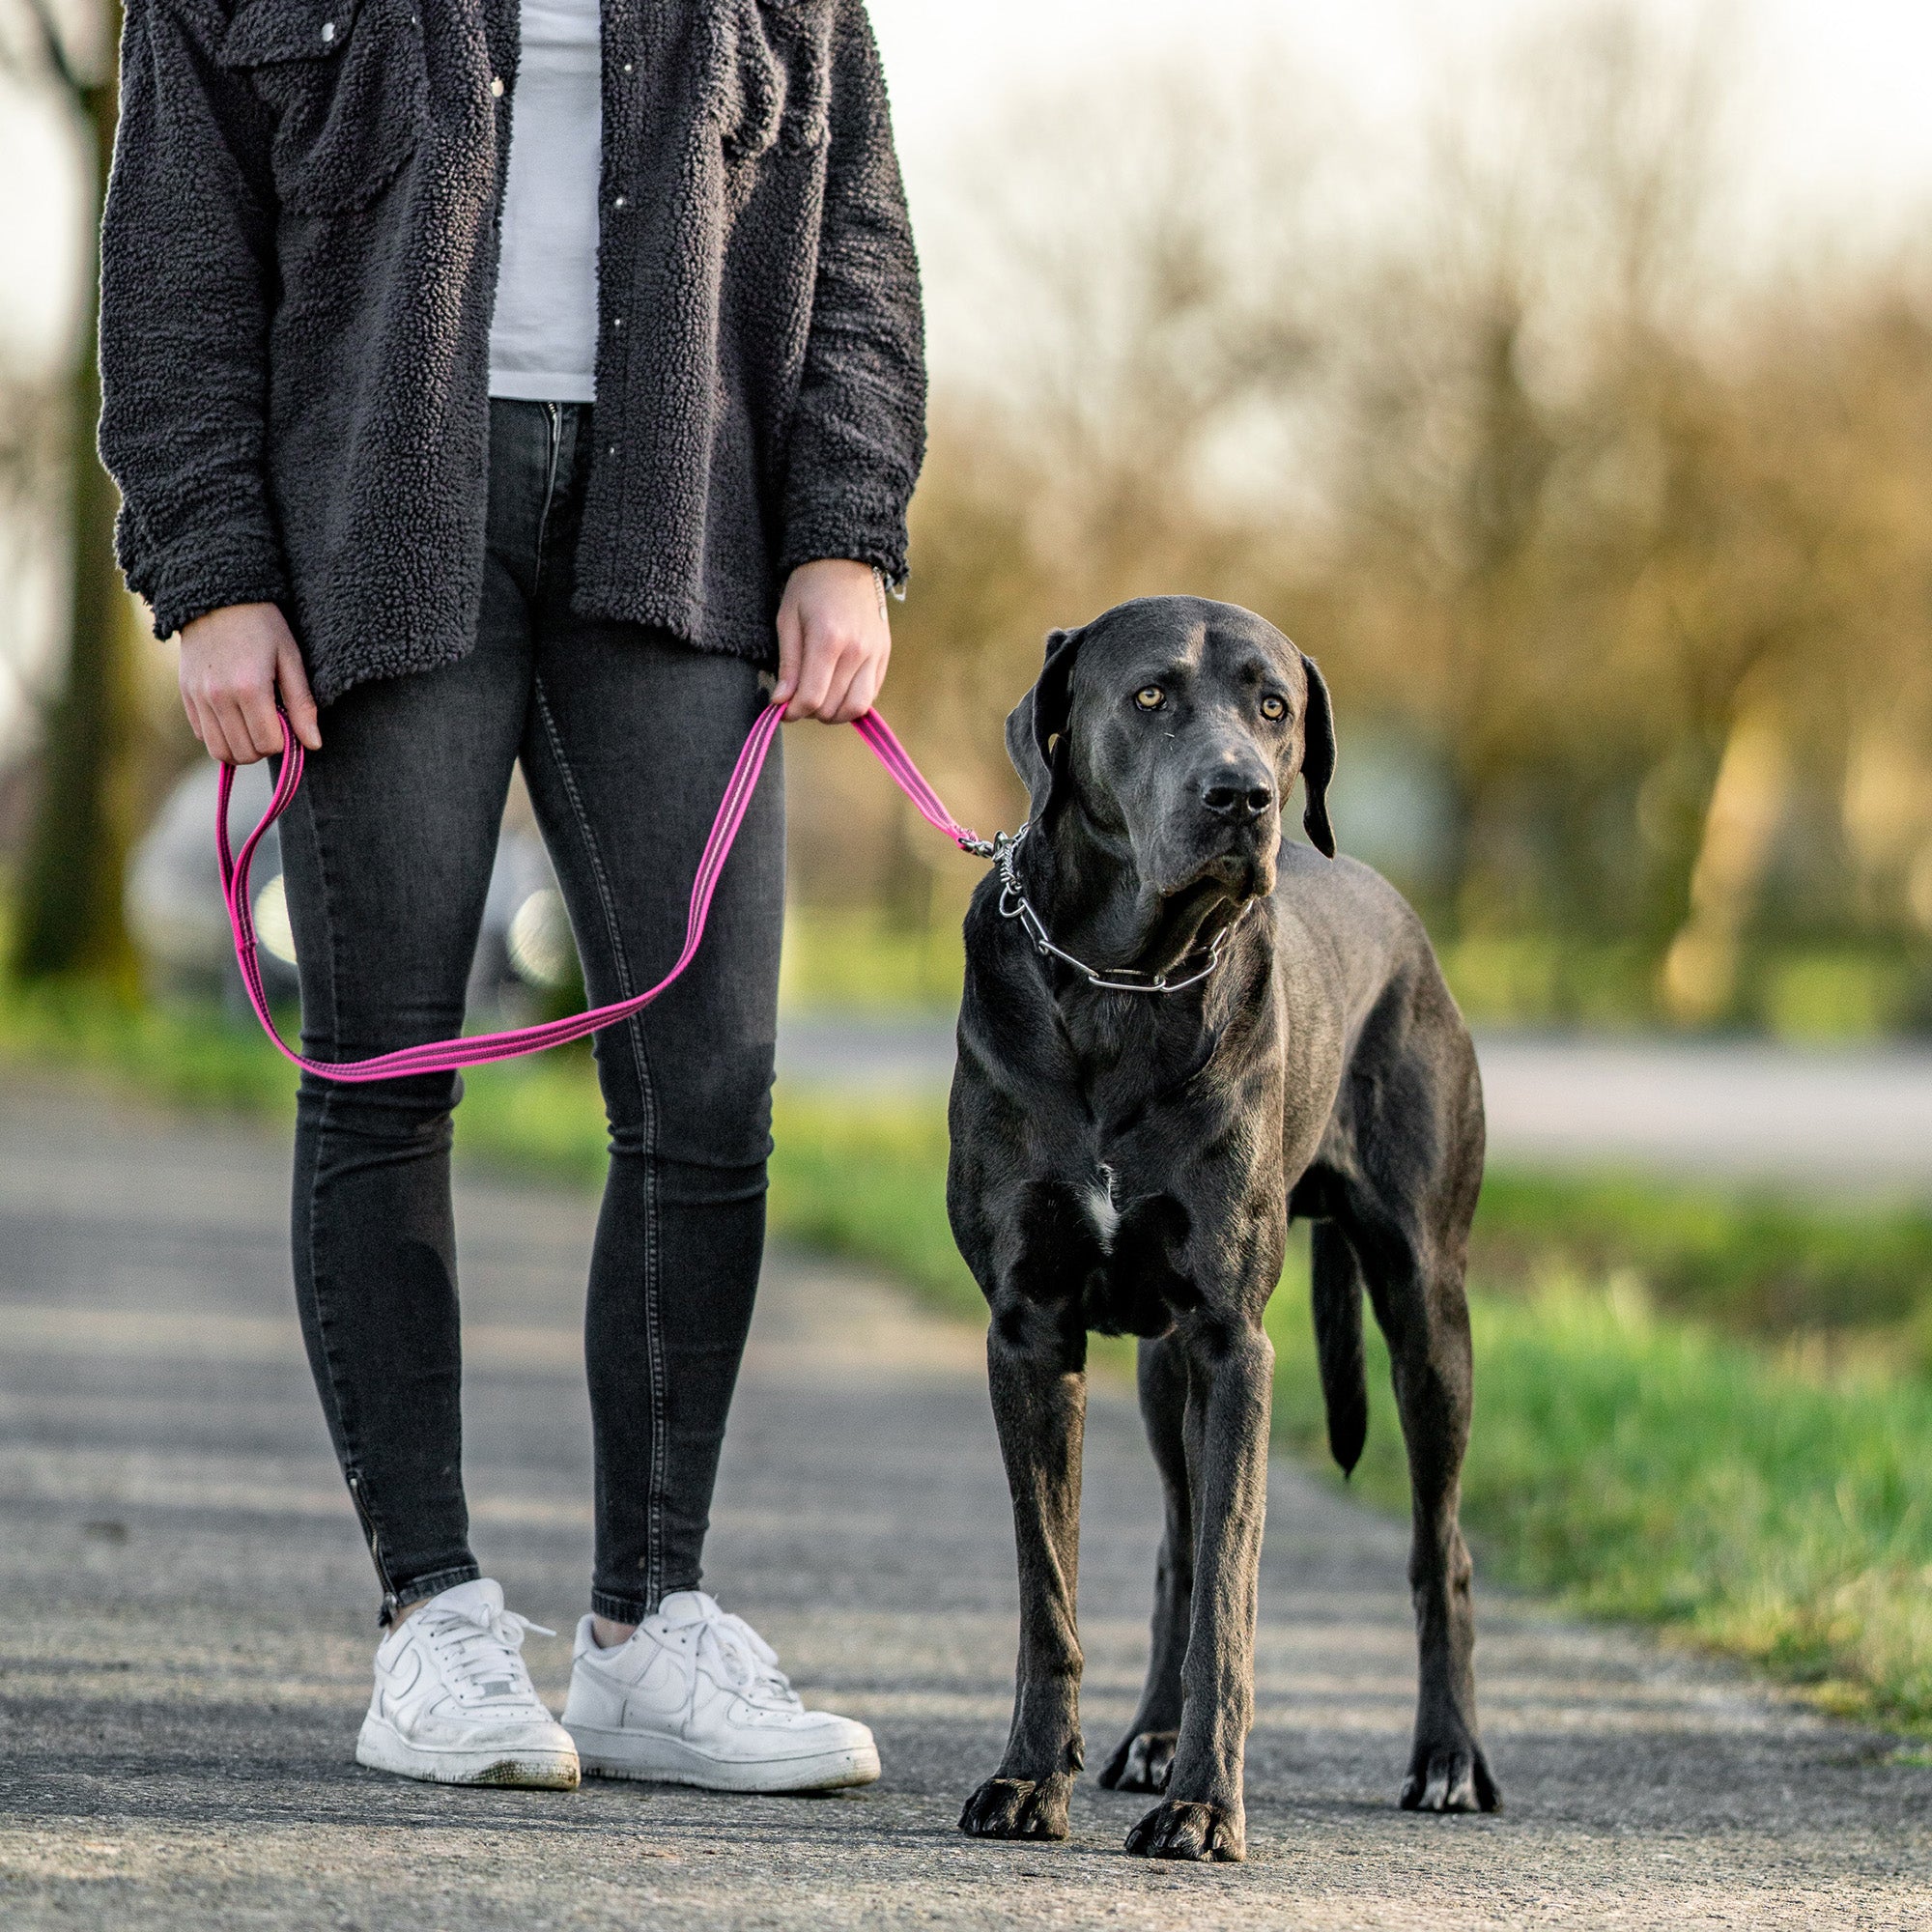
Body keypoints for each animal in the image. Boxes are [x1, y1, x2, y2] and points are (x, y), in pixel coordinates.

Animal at [943, 595, 1499, 1862]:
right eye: (1149, 693)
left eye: (1274, 706)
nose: (1241, 794)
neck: (1125, 979)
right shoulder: (1029, 1330)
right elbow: (1051, 1584)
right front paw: (1027, 1778)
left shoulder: (1236, 1342)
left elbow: (1230, 1599)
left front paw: (1203, 1803)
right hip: (1161, 1367)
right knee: (1174, 1544)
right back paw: (1148, 1736)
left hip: (1424, 1309)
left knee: (1435, 1547)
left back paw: (1446, 1758)